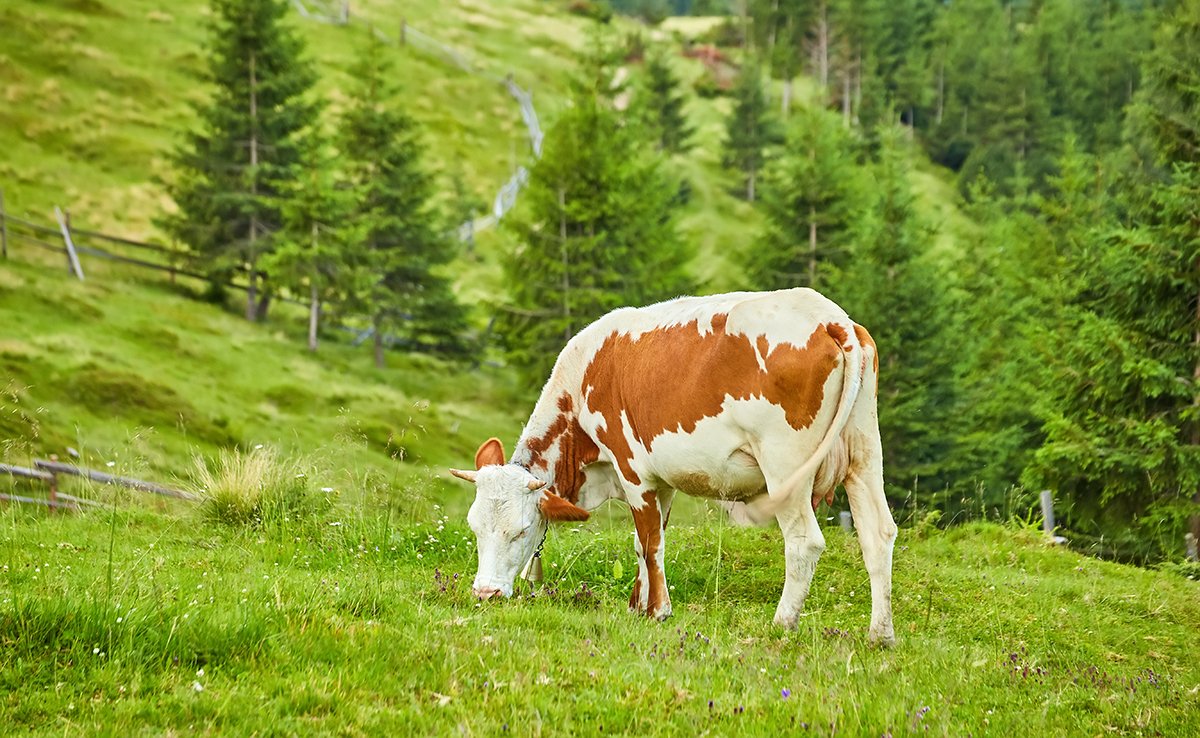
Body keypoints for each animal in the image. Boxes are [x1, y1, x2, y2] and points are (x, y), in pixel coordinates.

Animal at [449, 288, 897, 645]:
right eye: (475, 529)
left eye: (521, 531)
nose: (485, 593)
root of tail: (830, 318)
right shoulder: (660, 481)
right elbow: (643, 543)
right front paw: (637, 604)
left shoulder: (633, 470)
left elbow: (650, 543)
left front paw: (658, 611)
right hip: (865, 454)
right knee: (878, 533)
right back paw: (881, 634)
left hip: (785, 465)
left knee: (805, 541)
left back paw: (782, 624)